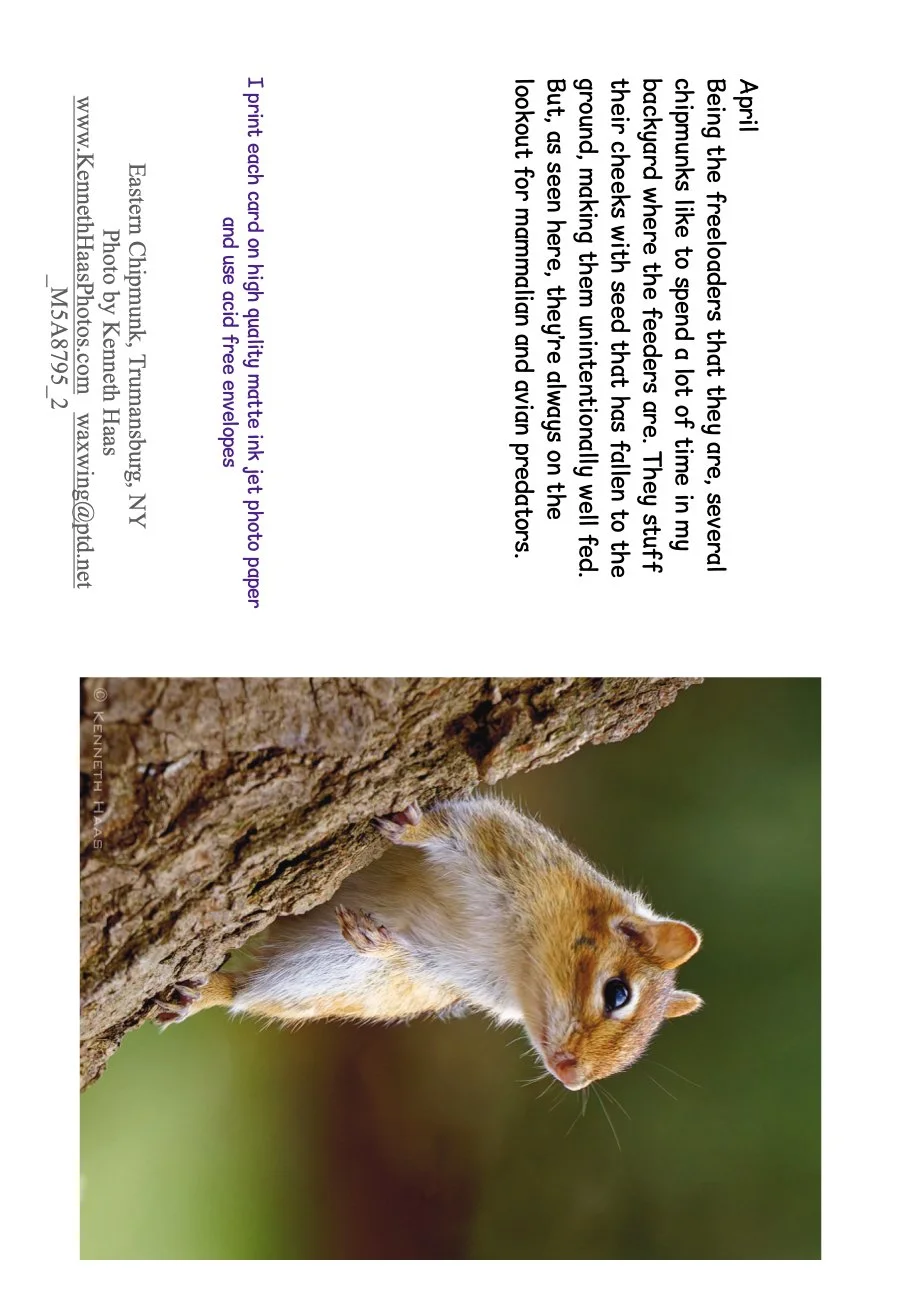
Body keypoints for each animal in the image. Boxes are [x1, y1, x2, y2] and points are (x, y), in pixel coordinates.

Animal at [157, 796, 703, 1089]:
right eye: (618, 994)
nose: (572, 1078)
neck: (519, 953)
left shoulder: (452, 975)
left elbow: (413, 958)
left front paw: (380, 943)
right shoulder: (498, 838)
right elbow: (445, 828)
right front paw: (413, 825)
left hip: (321, 975)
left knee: (253, 990)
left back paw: (207, 993)